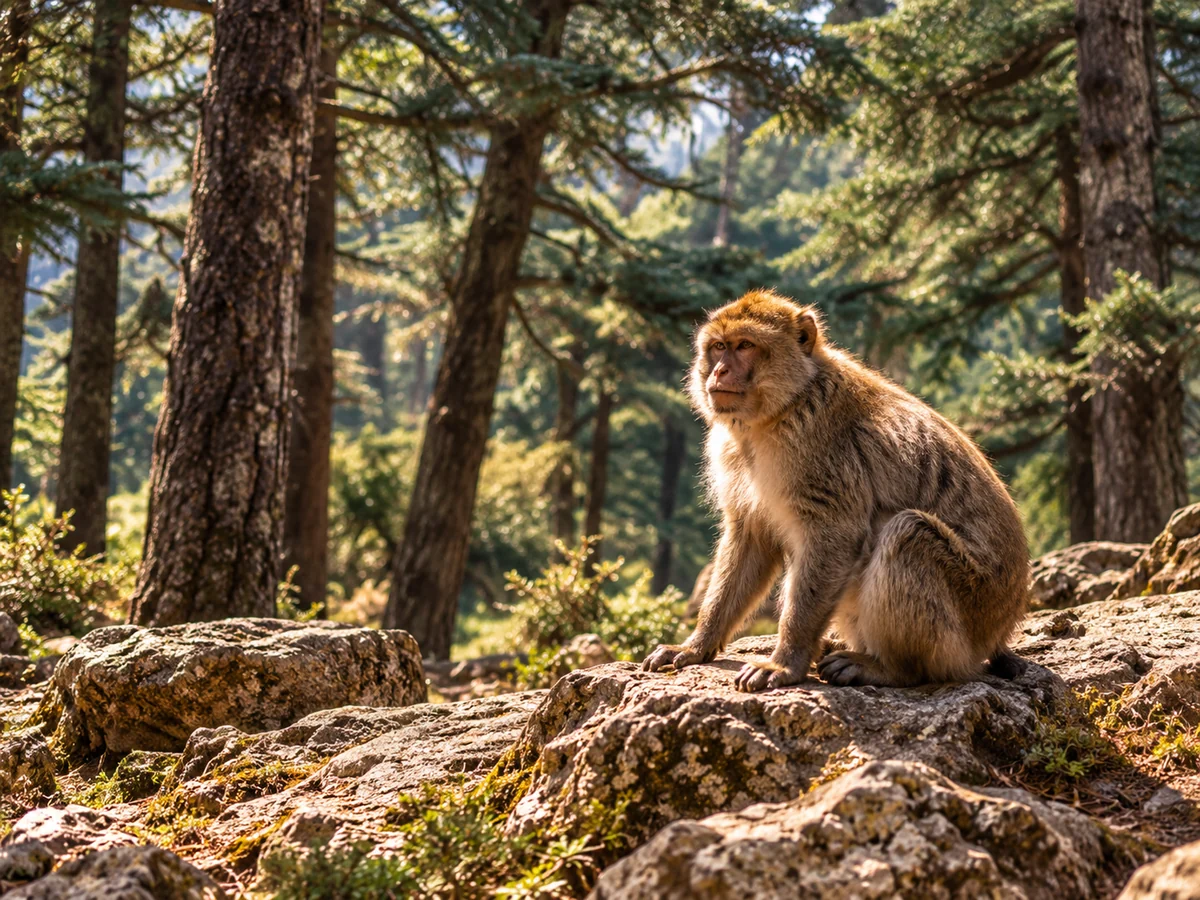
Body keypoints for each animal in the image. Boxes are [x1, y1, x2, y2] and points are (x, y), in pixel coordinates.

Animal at [642, 289, 1030, 691]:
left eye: (745, 345)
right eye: (718, 346)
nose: (719, 371)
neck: (786, 407)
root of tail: (1000, 630)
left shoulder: (818, 453)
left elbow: (835, 535)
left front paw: (785, 662)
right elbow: (751, 537)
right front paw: (696, 645)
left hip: (970, 608)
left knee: (908, 533)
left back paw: (890, 667)